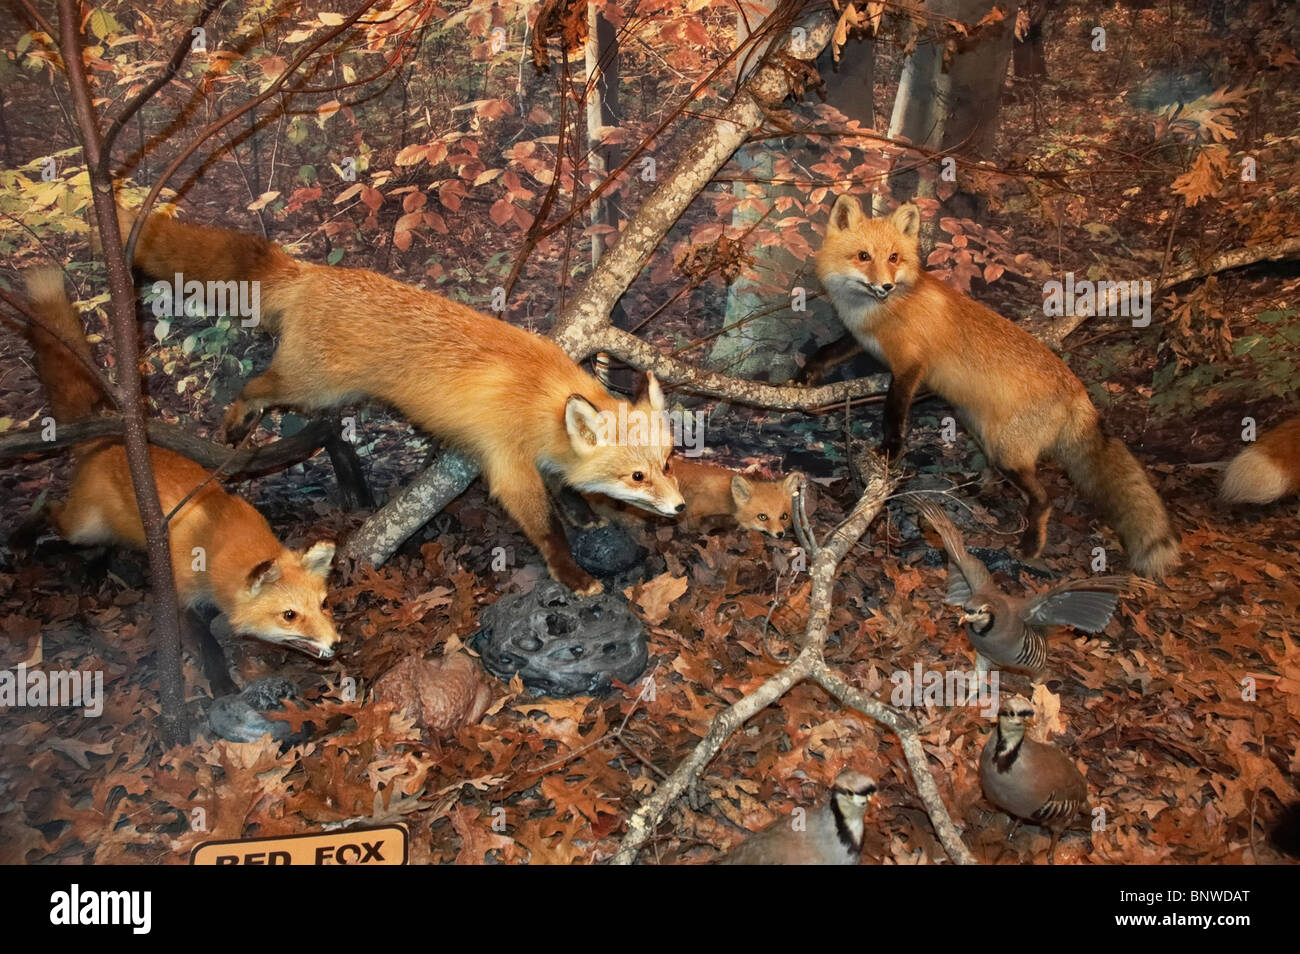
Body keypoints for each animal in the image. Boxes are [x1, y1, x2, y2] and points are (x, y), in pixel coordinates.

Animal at [24, 267, 340, 686]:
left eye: (325, 604)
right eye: (289, 615)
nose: (336, 643)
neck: (217, 536)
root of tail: (111, 435)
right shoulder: (180, 598)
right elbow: (208, 648)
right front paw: (221, 686)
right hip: (82, 525)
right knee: (51, 510)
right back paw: (22, 534)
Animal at [120, 209, 686, 597]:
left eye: (667, 464)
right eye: (637, 477)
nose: (680, 507)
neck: (539, 395)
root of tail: (311, 273)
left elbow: (562, 488)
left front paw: (582, 511)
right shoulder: (506, 466)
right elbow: (545, 529)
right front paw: (571, 573)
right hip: (308, 385)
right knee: (256, 385)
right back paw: (238, 421)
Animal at [800, 197, 1180, 579]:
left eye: (894, 258)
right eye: (863, 256)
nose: (886, 286)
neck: (879, 311)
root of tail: (1077, 390)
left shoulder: (911, 366)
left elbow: (893, 412)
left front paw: (891, 449)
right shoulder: (860, 338)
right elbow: (828, 350)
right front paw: (807, 373)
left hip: (1008, 451)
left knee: (1043, 499)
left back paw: (1030, 544)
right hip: (980, 430)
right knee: (995, 473)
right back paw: (977, 490)